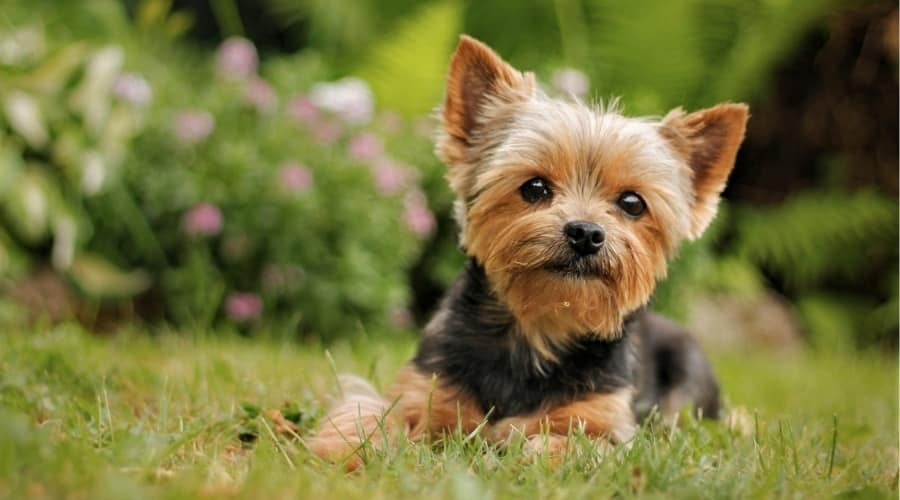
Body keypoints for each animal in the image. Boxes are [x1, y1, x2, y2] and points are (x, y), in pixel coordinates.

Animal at [306, 35, 748, 468]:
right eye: (535, 187)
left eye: (632, 203)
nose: (586, 233)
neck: (539, 327)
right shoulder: (425, 387)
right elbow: (371, 411)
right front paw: (344, 447)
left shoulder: (607, 421)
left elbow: (578, 443)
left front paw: (530, 446)